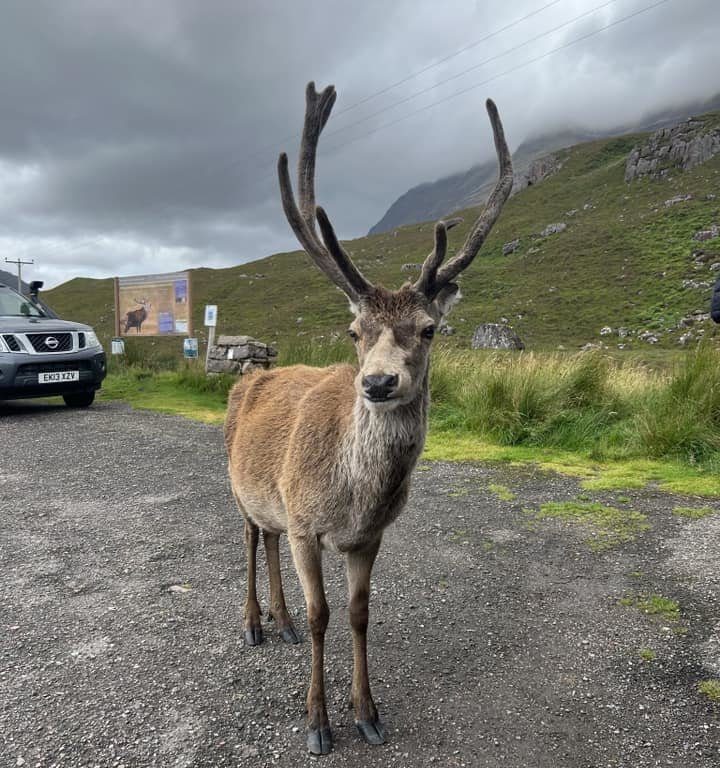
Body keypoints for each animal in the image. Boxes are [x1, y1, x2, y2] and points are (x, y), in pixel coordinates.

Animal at [225, 81, 512, 752]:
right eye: (354, 331)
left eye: (430, 329)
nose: (379, 382)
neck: (352, 497)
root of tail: (249, 374)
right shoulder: (306, 525)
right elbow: (321, 615)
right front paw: (317, 722)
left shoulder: (370, 536)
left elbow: (357, 614)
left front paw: (368, 713)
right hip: (239, 486)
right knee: (250, 536)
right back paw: (254, 622)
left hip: (274, 504)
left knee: (268, 538)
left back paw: (277, 620)